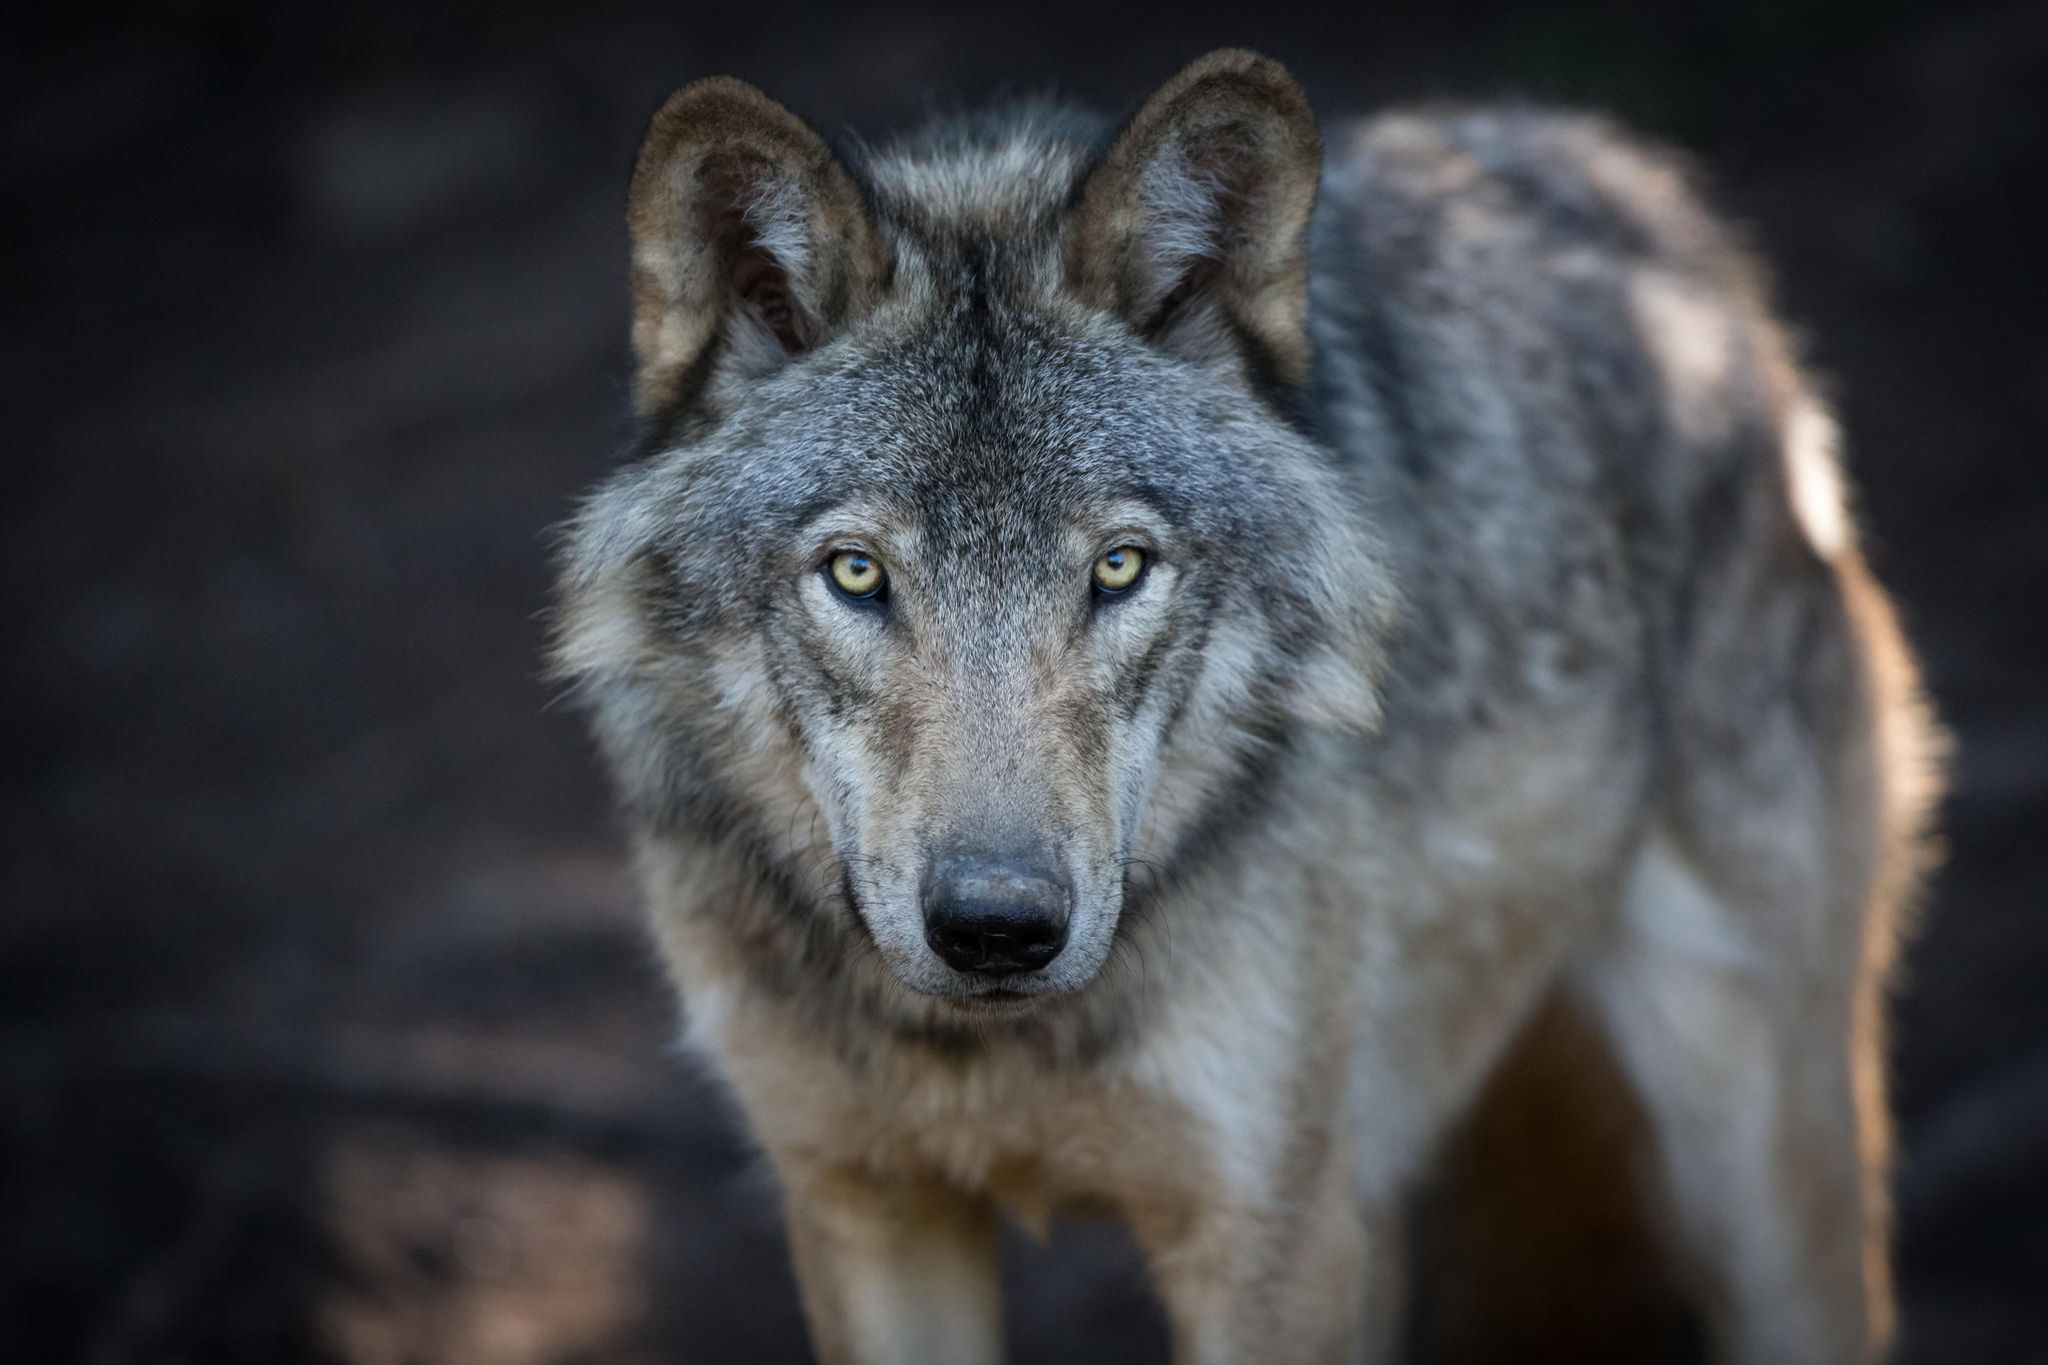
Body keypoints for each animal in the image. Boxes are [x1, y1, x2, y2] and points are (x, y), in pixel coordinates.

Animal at [552, 50, 1941, 1365]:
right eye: (855, 574)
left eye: (1119, 568)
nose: (997, 929)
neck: (986, 1054)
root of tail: (1635, 189)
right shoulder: (865, 1208)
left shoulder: (1269, 1238)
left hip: (1751, 1176)